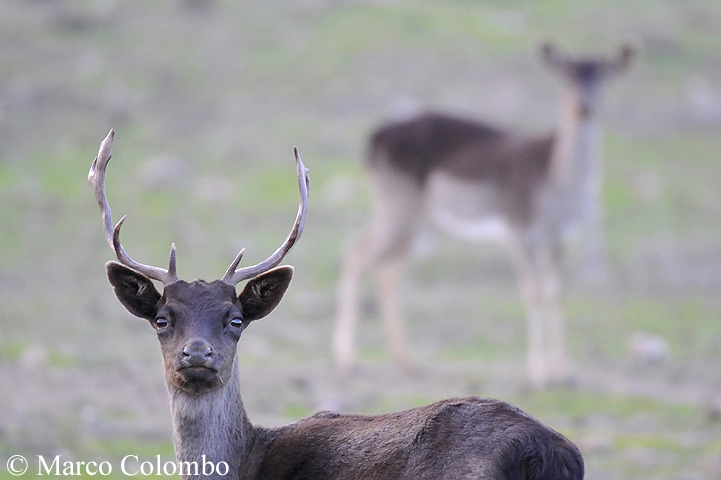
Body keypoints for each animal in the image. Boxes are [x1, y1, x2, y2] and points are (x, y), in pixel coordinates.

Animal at [334, 41, 632, 386]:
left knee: (387, 272)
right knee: (354, 254)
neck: (554, 182)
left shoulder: (559, 238)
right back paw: (347, 360)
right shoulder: (520, 231)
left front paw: (564, 370)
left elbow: (556, 293)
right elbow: (532, 293)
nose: (584, 106)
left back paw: (409, 362)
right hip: (397, 211)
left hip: (423, 227)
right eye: (567, 74)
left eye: (603, 75)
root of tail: (375, 137)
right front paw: (539, 372)